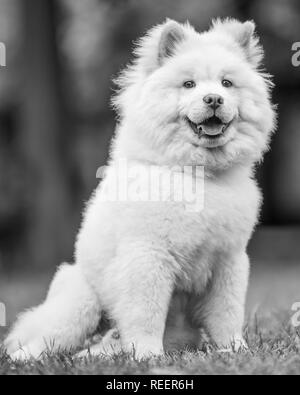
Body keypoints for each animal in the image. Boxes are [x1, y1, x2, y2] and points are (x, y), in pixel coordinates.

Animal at [5, 19, 276, 362]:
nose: (214, 99)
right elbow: (147, 315)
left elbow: (227, 315)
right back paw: (23, 358)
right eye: (189, 85)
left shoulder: (228, 261)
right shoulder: (148, 256)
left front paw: (235, 350)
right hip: (80, 305)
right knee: (44, 339)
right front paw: (148, 356)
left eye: (226, 83)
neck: (197, 175)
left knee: (96, 346)